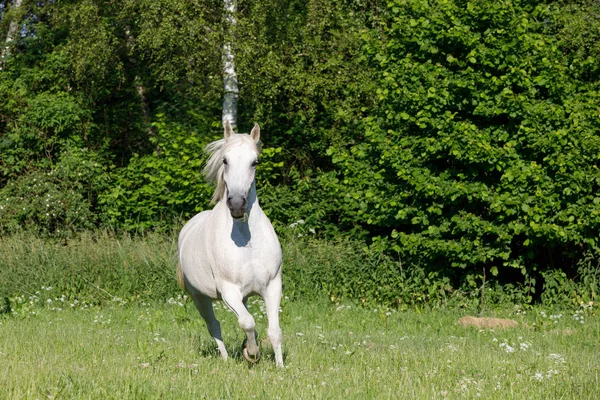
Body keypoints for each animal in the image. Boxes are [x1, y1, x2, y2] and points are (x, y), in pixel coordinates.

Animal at [176, 122, 284, 368]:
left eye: (255, 162)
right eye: (225, 160)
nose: (236, 204)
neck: (247, 241)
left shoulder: (273, 286)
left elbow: (274, 331)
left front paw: (280, 366)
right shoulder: (229, 291)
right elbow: (247, 322)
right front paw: (252, 354)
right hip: (200, 298)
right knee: (214, 326)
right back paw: (225, 358)